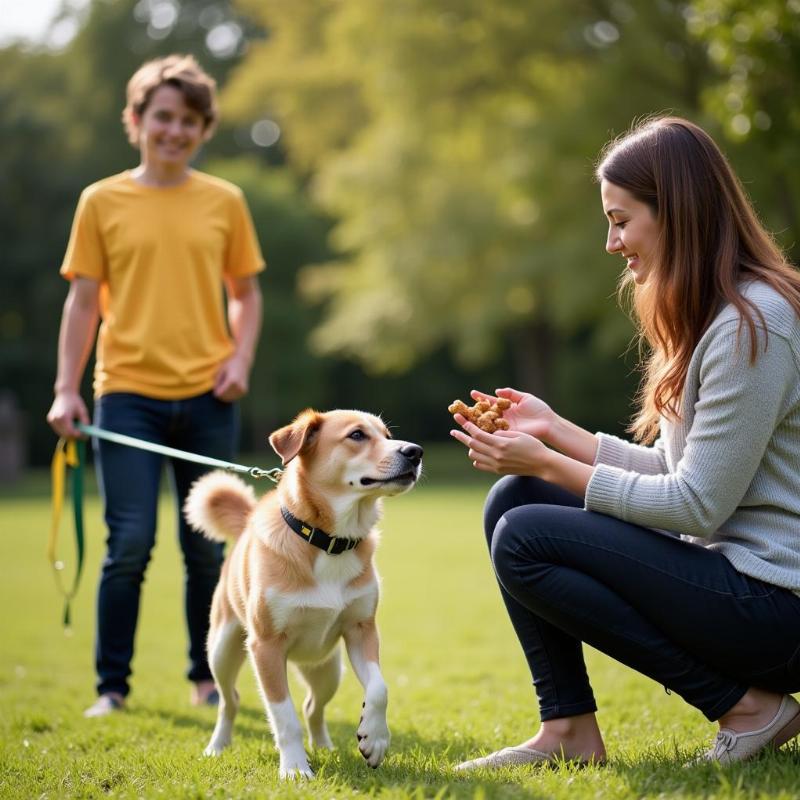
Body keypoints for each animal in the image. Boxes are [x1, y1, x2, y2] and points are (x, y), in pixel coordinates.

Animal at [180, 410, 418, 780]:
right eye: (357, 435)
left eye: (387, 435)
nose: (415, 452)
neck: (328, 541)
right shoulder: (265, 647)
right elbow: (284, 716)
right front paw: (294, 768)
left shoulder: (362, 629)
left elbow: (379, 688)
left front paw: (374, 738)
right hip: (221, 651)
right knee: (229, 701)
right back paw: (217, 746)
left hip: (327, 670)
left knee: (312, 708)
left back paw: (324, 746)